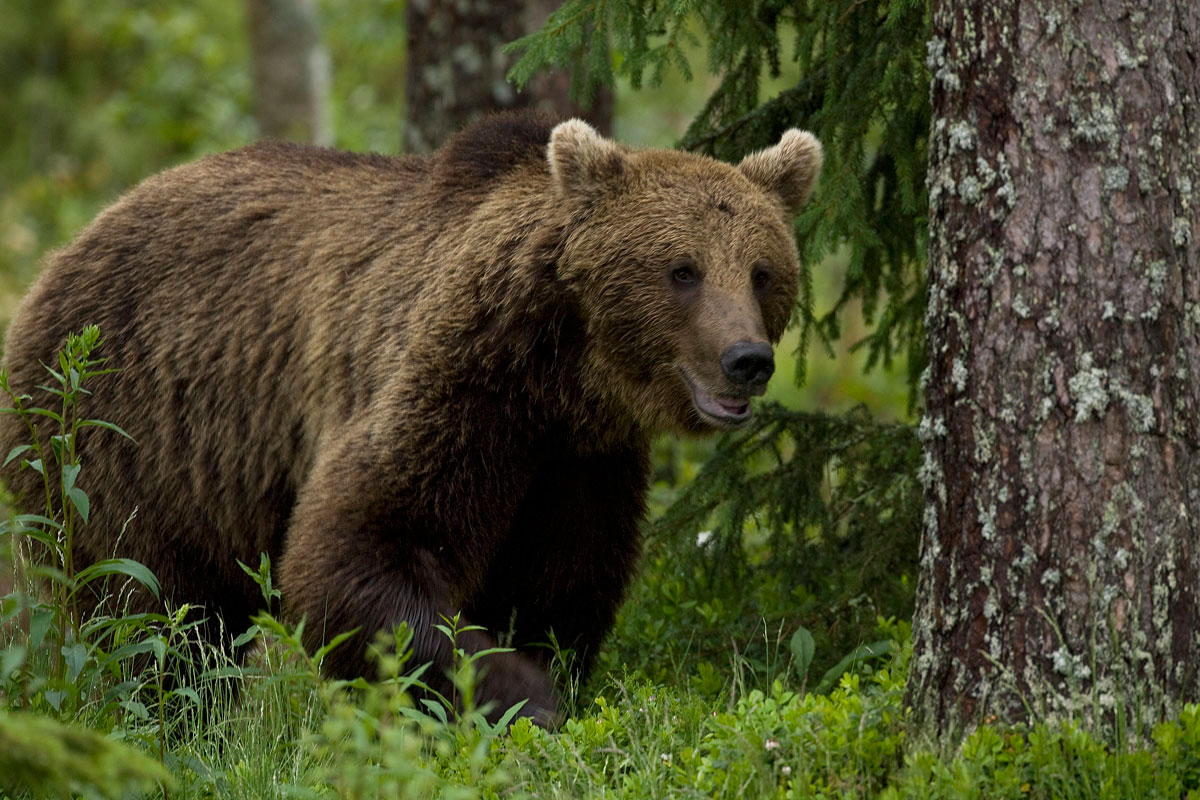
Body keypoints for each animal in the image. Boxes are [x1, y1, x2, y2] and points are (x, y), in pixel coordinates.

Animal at [0, 112, 820, 724]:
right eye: (682, 270)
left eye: (761, 271)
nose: (747, 359)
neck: (566, 377)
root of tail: (67, 249)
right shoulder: (458, 389)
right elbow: (367, 547)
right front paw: (518, 695)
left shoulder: (582, 465)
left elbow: (561, 587)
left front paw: (544, 679)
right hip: (126, 436)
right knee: (155, 615)